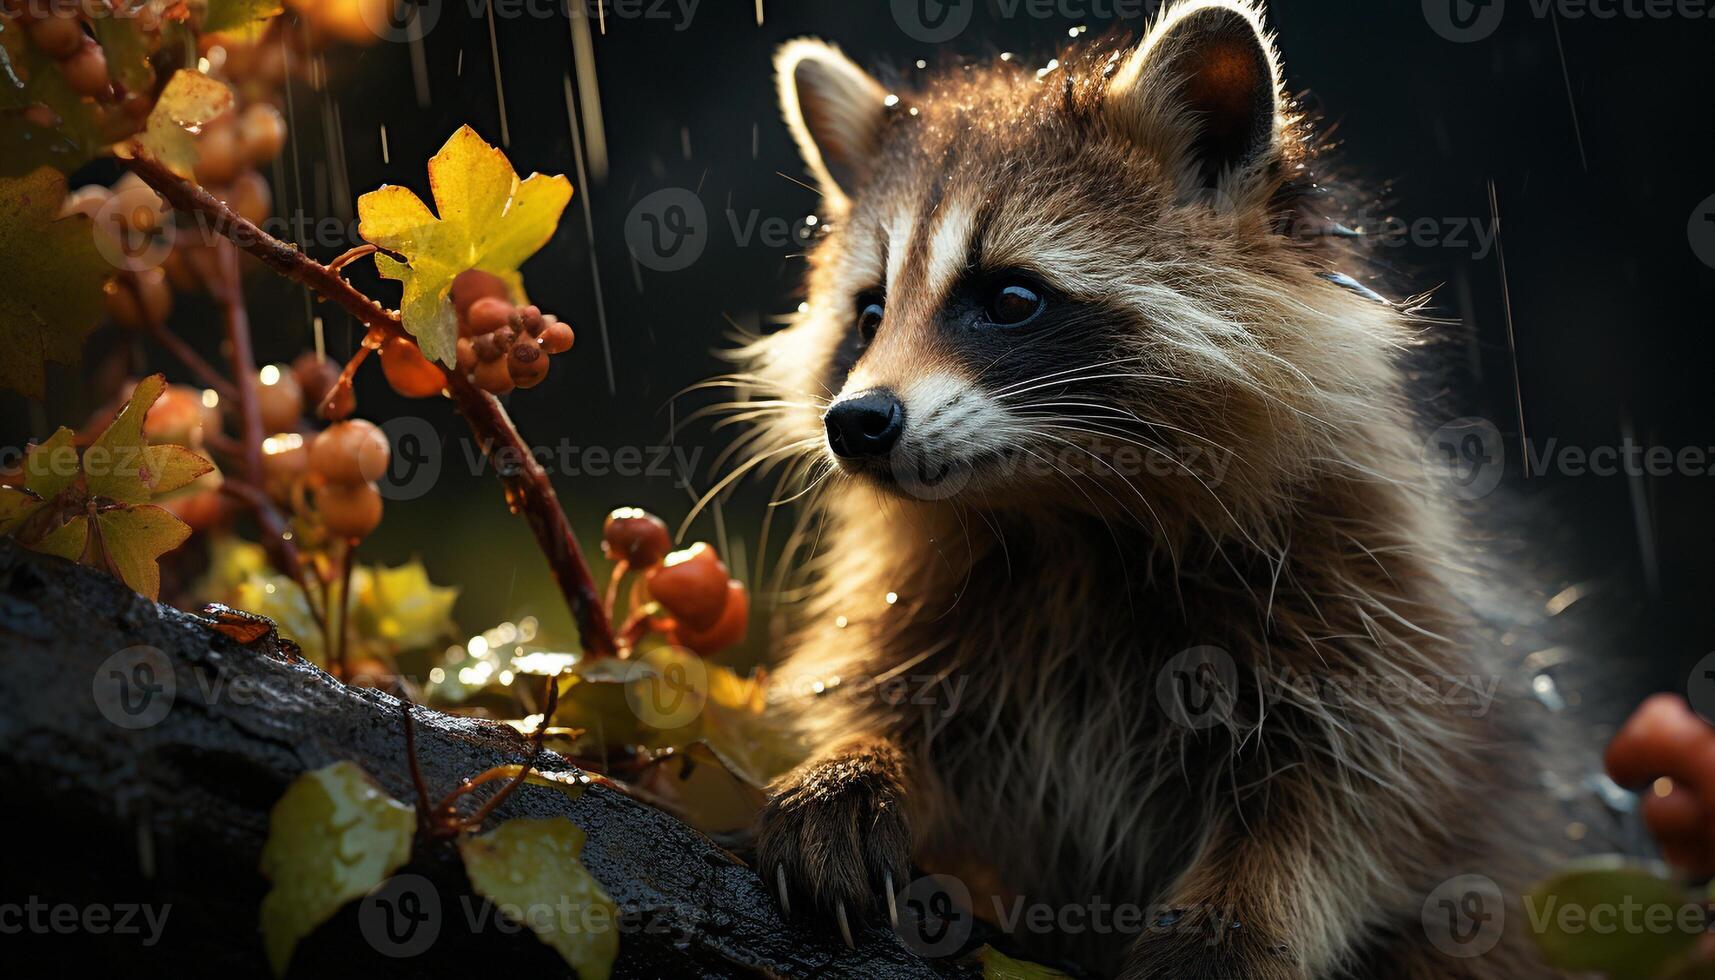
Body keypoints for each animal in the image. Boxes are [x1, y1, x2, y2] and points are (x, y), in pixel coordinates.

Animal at [737, 3, 1570, 974]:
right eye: (868, 315)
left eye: (1010, 299)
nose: (857, 421)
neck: (1064, 508)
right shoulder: (936, 599)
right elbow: (892, 693)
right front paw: (858, 759)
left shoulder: (1376, 592)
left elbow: (1359, 800)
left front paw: (1241, 917)